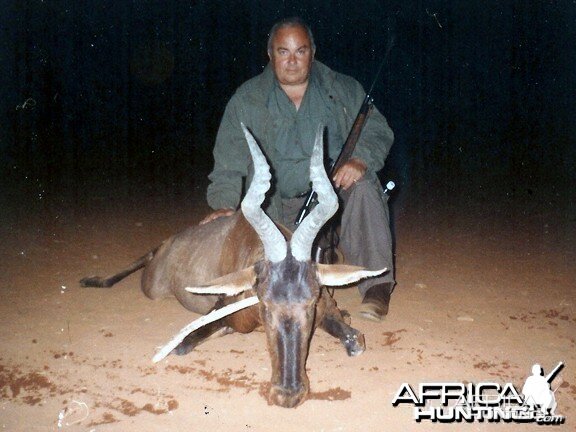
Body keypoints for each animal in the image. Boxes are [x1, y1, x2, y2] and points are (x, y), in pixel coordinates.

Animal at [80, 125, 388, 408]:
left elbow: (355, 339)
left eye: (311, 303)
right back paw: (92, 280)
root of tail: (173, 242)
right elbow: (183, 344)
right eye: (265, 304)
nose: (288, 395)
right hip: (153, 283)